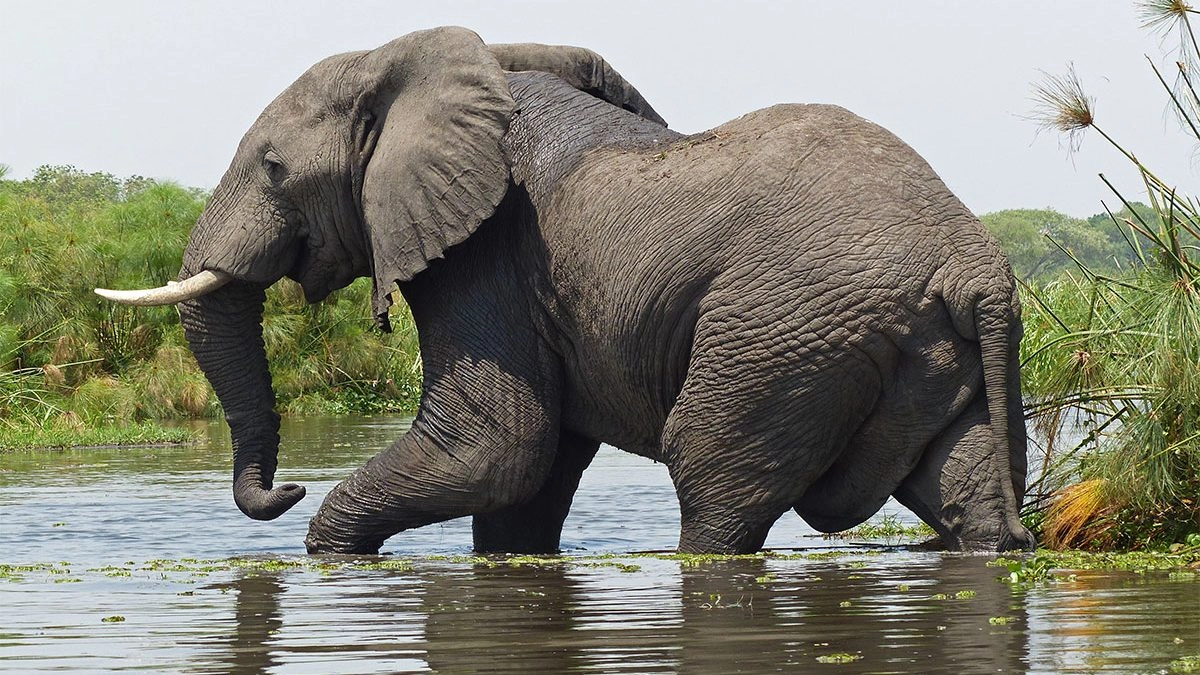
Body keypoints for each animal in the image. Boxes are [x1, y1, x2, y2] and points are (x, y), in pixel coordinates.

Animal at [98, 26, 1035, 555]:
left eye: (272, 167)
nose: (282, 489)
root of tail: (974, 269)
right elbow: (528, 481)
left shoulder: (492, 255)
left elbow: (494, 445)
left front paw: (329, 544)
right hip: (925, 350)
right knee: (964, 487)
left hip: (785, 335)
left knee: (712, 483)